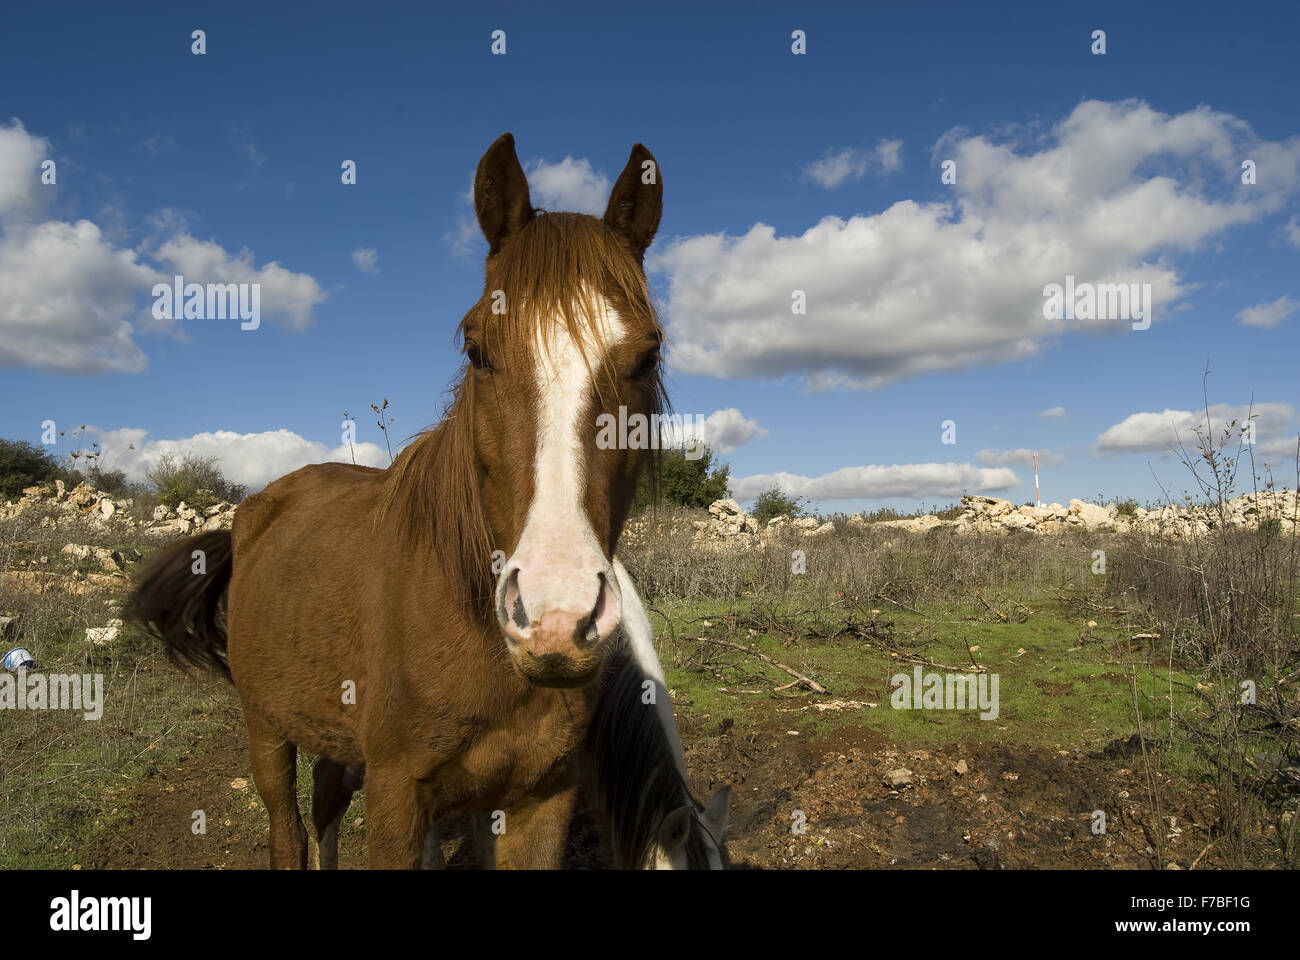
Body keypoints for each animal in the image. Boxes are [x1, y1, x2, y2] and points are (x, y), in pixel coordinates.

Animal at [128, 130, 681, 863]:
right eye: (476, 351)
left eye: (647, 357)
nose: (555, 618)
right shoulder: (395, 800)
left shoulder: (543, 799)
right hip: (266, 728)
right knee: (288, 831)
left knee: (326, 805)